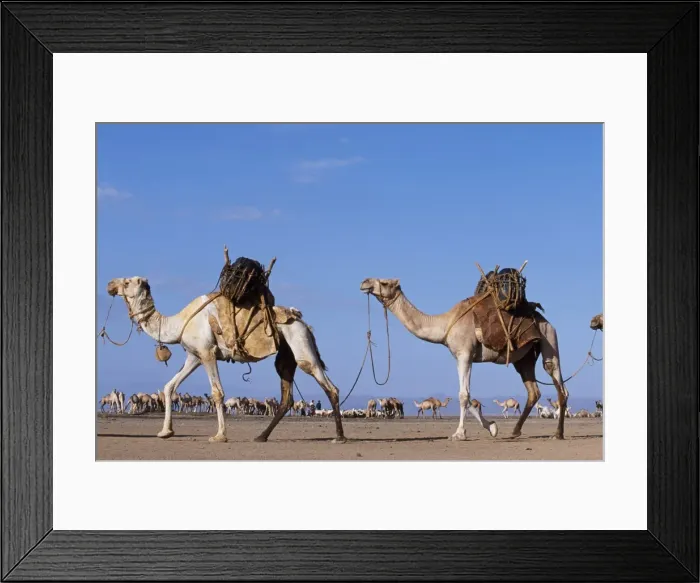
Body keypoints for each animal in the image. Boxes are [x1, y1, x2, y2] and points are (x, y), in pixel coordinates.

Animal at [106, 274, 346, 443]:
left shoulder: (207, 352)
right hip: (286, 355)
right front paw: (165, 431)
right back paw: (261, 436)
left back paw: (340, 437)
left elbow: (217, 392)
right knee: (286, 395)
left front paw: (220, 435)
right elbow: (169, 386)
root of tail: (304, 323)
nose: (110, 284)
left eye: (127, 281)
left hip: (301, 344)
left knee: (328, 386)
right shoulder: (194, 356)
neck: (178, 322)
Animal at [360, 277, 568, 440]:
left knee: (559, 385)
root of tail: (547, 322)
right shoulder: (459, 357)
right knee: (533, 390)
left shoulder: (465, 354)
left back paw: (557, 434)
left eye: (384, 282)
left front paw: (459, 433)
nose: (364, 282)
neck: (445, 324)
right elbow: (467, 395)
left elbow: (463, 395)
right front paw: (492, 427)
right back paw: (515, 431)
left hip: (549, 339)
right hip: (524, 358)